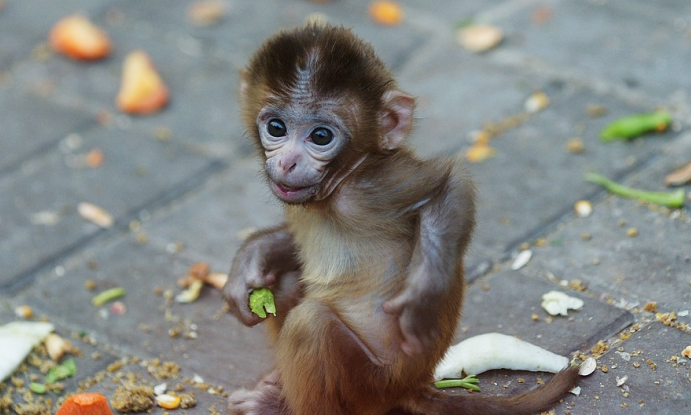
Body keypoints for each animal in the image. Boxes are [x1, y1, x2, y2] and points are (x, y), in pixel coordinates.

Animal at [223, 23, 580, 415]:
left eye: (320, 136)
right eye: (276, 128)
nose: (287, 161)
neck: (338, 185)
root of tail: (412, 385)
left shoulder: (376, 186)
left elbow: (449, 185)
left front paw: (421, 296)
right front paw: (252, 257)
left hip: (370, 384)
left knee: (310, 324)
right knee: (285, 284)